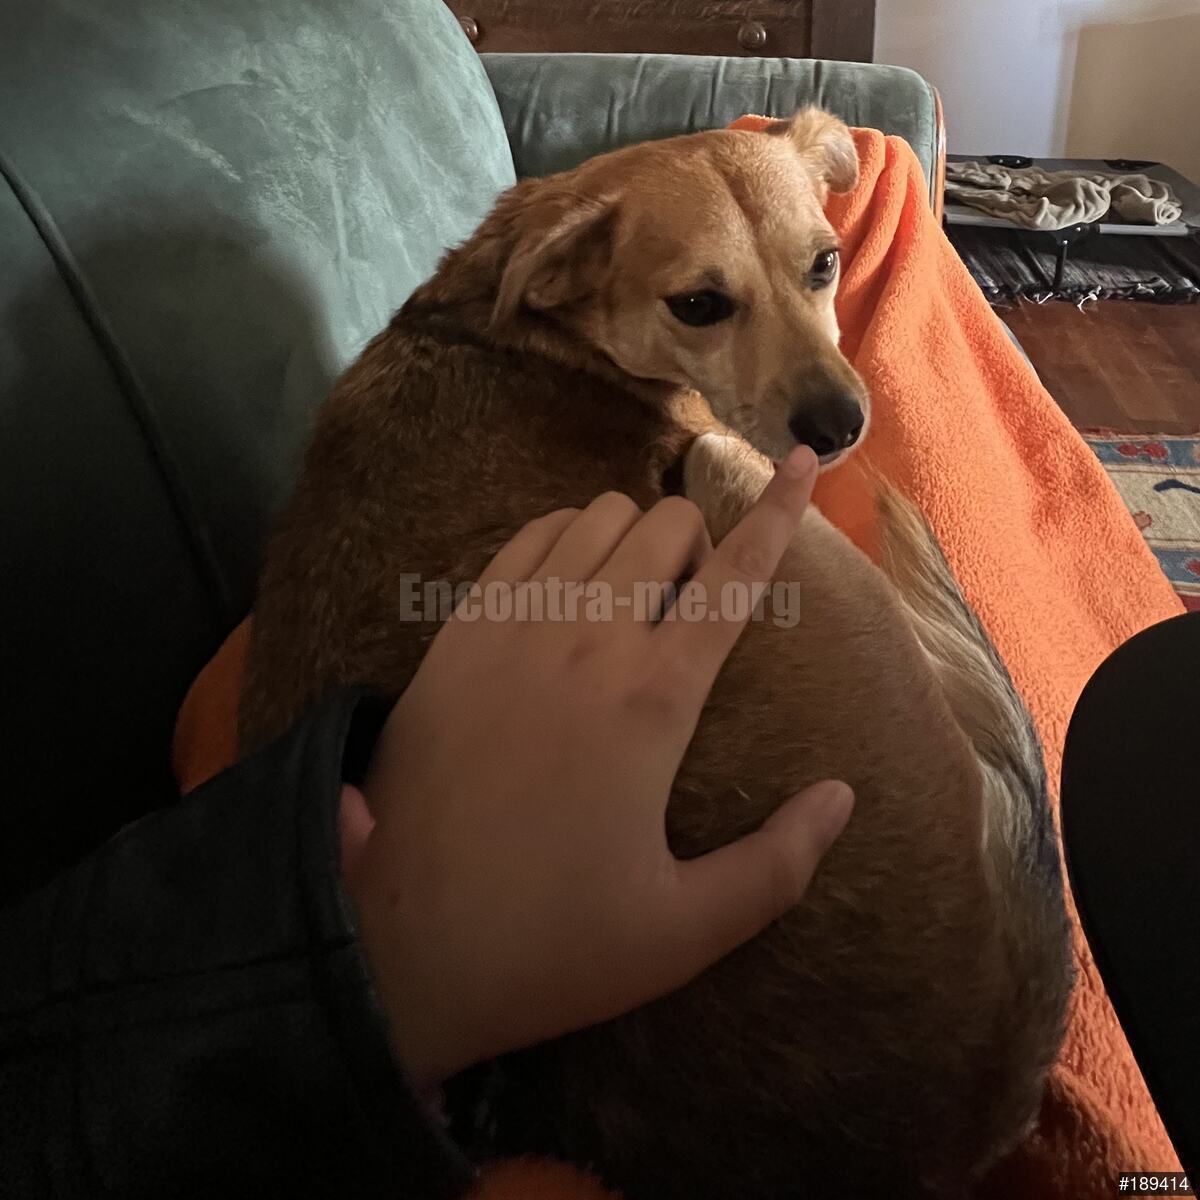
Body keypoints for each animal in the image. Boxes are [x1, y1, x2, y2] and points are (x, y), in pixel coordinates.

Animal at [240, 110, 1072, 1198]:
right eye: (700, 305)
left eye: (825, 264)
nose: (842, 429)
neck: (529, 323)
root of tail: (971, 1118)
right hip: (740, 486)